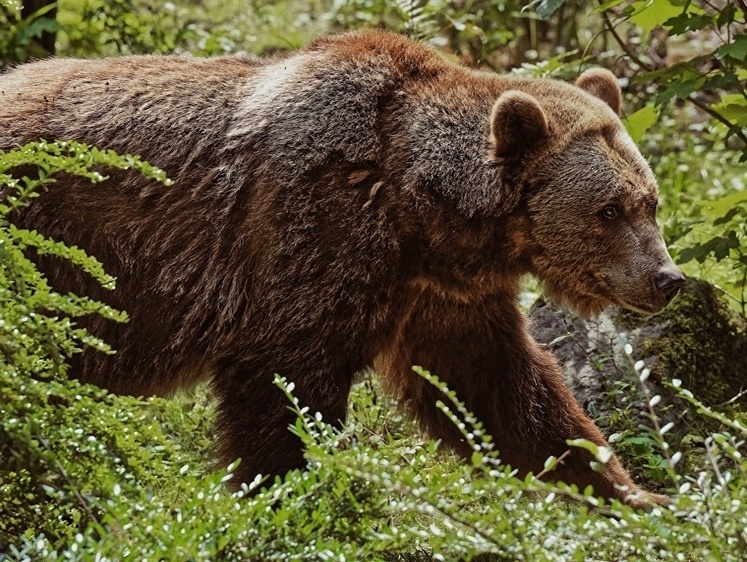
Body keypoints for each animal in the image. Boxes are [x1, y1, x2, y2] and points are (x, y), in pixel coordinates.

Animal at [0, 29, 684, 504]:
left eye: (649, 202)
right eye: (609, 209)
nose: (667, 280)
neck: (417, 210)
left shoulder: (438, 295)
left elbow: (504, 388)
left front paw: (632, 493)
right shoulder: (310, 232)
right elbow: (284, 390)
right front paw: (289, 496)